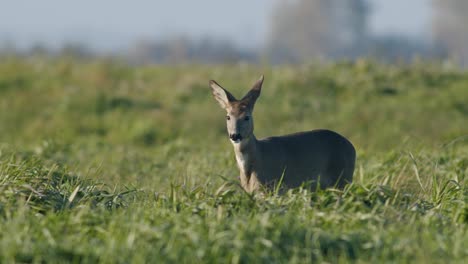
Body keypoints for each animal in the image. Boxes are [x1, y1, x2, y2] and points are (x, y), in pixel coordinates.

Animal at [209, 75, 354, 193]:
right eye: (228, 117)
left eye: (247, 117)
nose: (235, 135)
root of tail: (352, 147)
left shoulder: (273, 186)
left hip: (342, 178)